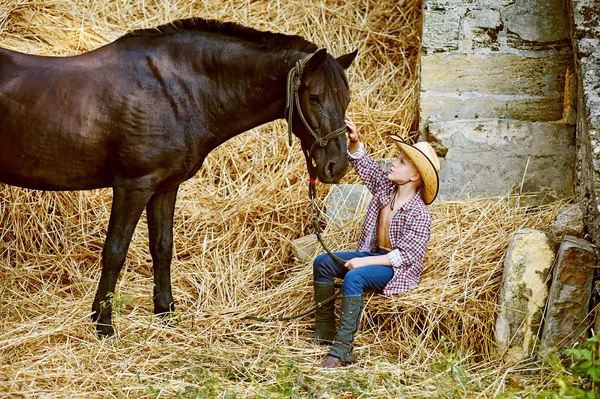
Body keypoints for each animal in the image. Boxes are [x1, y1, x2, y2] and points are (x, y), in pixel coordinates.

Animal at [0, 19, 356, 338]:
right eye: (314, 97)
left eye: (346, 98)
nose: (336, 166)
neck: (173, 91)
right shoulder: (133, 186)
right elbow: (115, 251)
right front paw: (104, 324)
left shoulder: (165, 187)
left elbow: (162, 247)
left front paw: (166, 312)